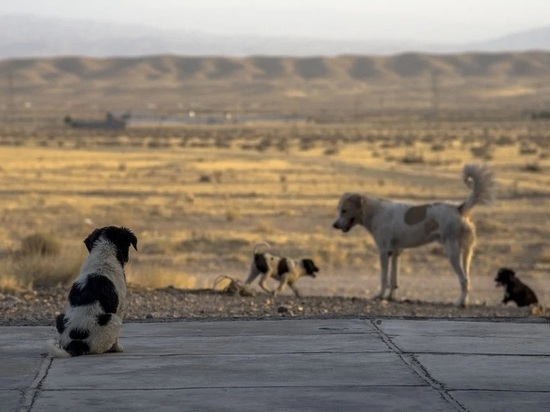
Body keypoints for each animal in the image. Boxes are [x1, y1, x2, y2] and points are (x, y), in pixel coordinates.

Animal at [49, 225, 138, 358]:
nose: (126, 258)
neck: (104, 255)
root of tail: (76, 344)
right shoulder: (120, 307)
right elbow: (116, 339)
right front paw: (117, 348)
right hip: (113, 320)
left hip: (60, 318)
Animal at [334, 164, 498, 306]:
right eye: (339, 209)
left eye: (344, 210)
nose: (334, 225)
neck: (375, 212)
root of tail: (459, 208)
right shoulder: (395, 252)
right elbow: (393, 280)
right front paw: (390, 297)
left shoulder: (383, 252)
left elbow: (383, 278)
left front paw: (379, 296)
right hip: (467, 253)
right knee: (468, 279)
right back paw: (464, 301)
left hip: (453, 252)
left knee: (464, 280)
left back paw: (458, 303)